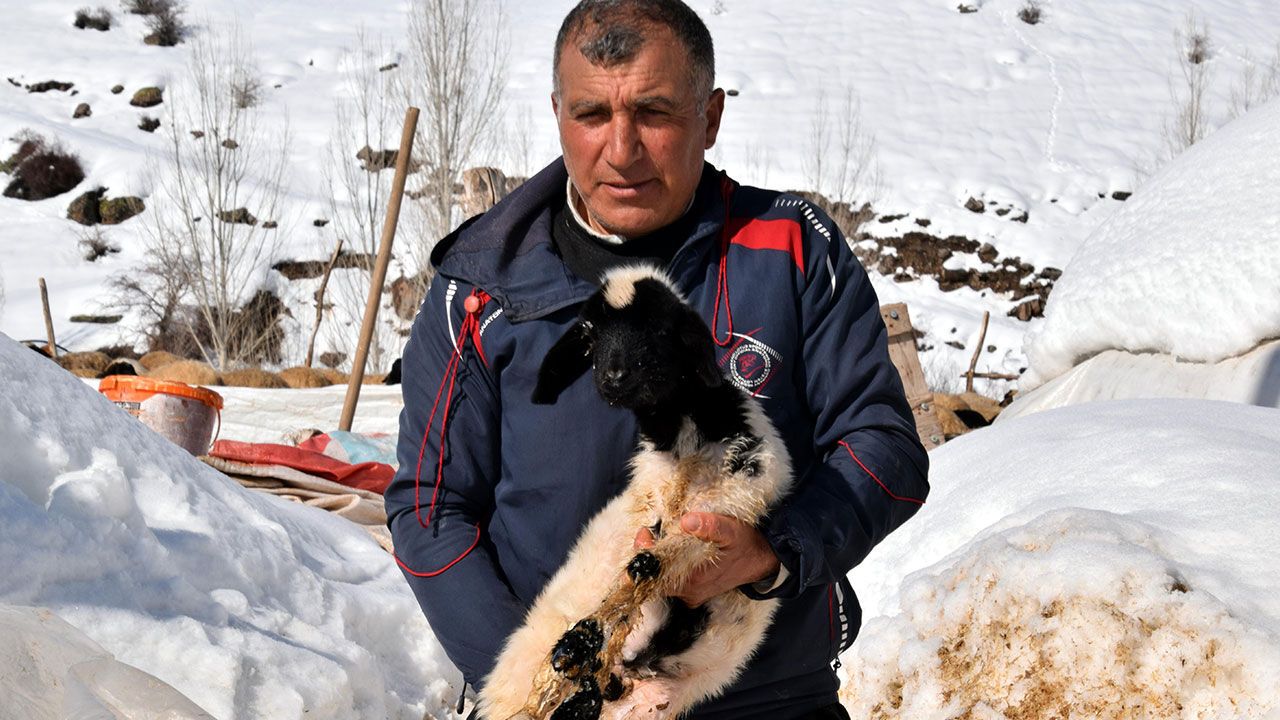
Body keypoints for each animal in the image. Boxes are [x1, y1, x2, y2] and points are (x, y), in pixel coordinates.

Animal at [477, 265, 794, 720]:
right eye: (589, 334)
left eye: (663, 328)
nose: (613, 379)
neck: (680, 444)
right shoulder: (653, 513)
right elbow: (633, 576)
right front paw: (583, 640)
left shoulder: (727, 509)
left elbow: (649, 567)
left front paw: (587, 640)